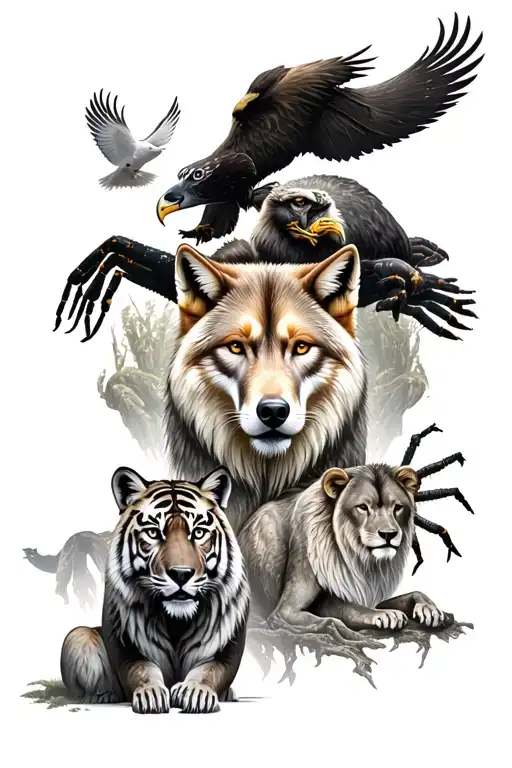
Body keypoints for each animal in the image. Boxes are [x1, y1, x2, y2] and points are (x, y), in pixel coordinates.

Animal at [60, 465, 250, 714]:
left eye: (198, 533)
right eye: (153, 533)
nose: (181, 573)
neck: (177, 622)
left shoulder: (227, 649)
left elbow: (209, 670)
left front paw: (196, 693)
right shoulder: (126, 644)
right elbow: (142, 669)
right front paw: (151, 695)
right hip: (77, 635)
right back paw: (103, 695)